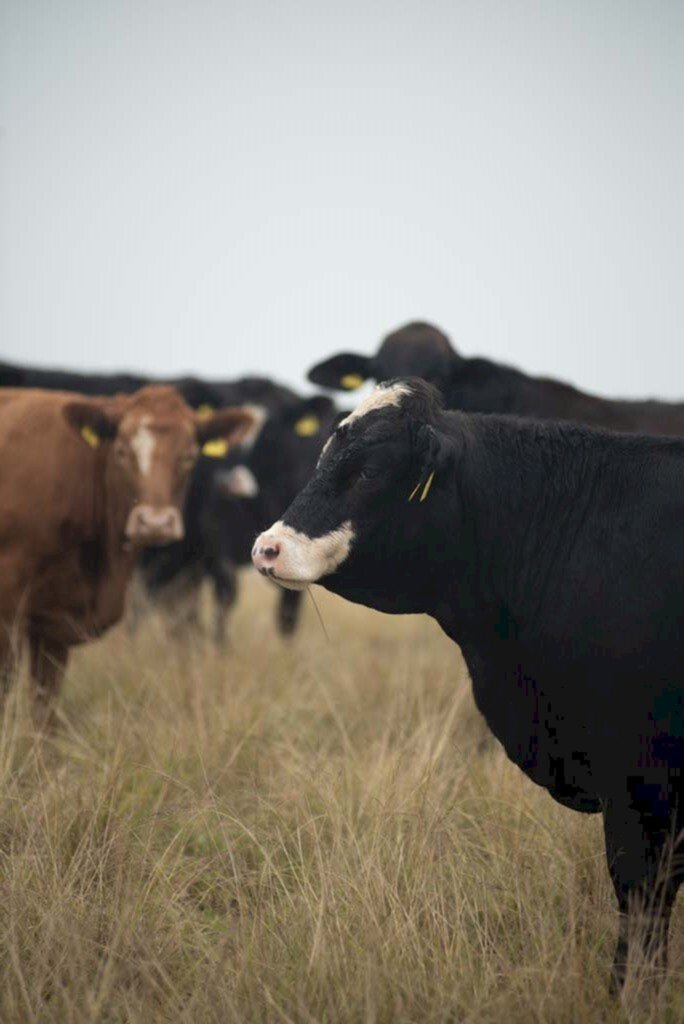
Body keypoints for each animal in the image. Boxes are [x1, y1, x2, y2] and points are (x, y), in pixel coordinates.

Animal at [0, 385, 253, 720]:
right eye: (121, 451)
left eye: (189, 456)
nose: (155, 522)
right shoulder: (9, 617)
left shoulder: (54, 624)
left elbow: (45, 706)